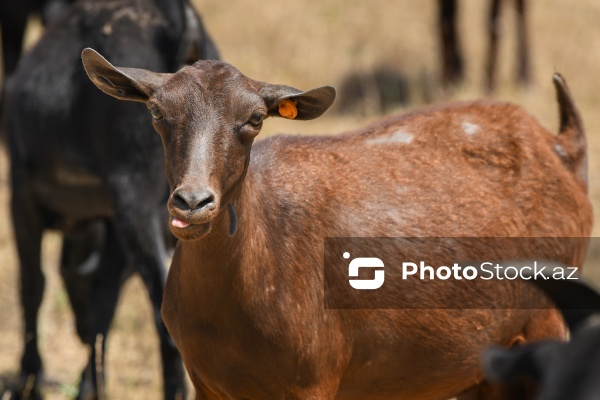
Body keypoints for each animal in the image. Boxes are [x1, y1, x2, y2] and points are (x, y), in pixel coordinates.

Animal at [83, 50, 592, 400]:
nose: (193, 203)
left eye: (254, 118)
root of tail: (562, 148)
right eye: (157, 112)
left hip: (547, 322)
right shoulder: (206, 381)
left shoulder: (313, 375)